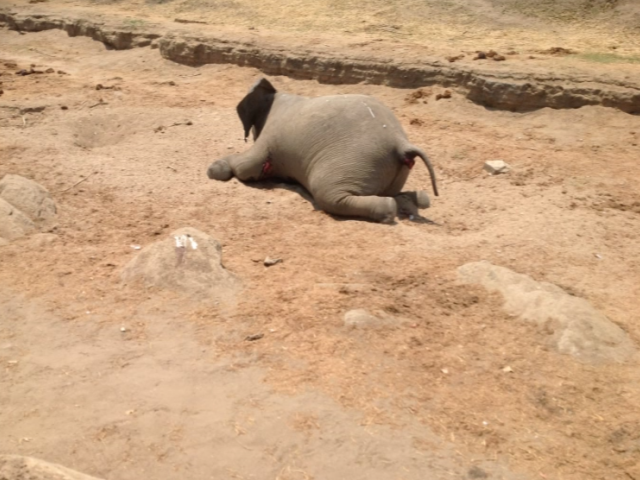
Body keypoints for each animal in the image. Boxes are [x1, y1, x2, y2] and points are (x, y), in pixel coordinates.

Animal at [207, 77, 438, 223]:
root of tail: (401, 143)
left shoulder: (269, 136)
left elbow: (246, 168)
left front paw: (214, 169)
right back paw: (418, 199)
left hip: (351, 162)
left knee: (329, 195)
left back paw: (388, 212)